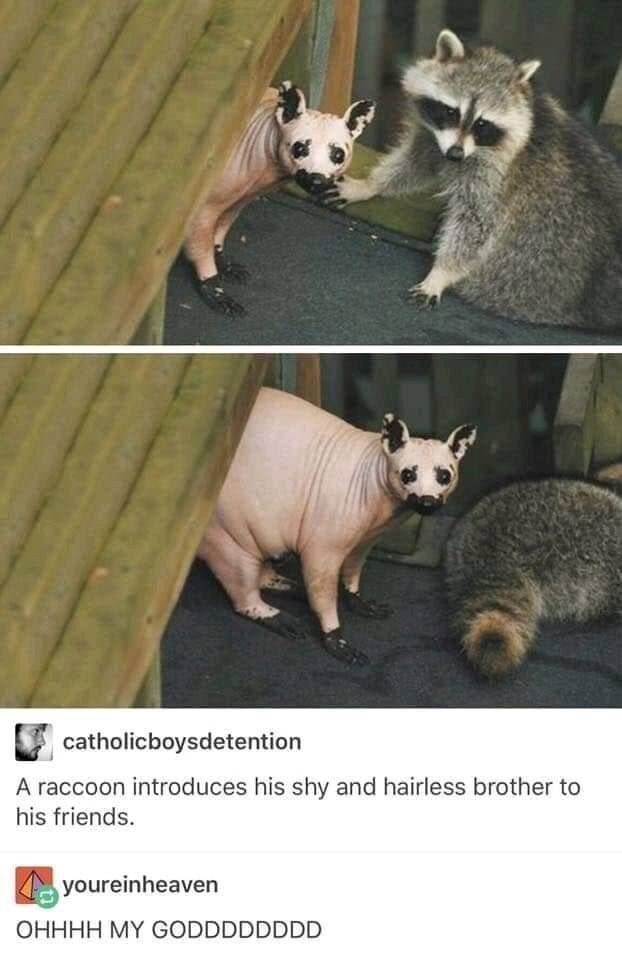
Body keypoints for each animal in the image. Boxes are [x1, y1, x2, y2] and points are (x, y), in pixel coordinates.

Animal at [318, 29, 622, 330]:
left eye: (482, 124)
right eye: (451, 112)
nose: (455, 154)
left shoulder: (495, 174)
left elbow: (476, 223)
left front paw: (440, 273)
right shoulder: (433, 137)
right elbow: (416, 163)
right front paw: (370, 185)